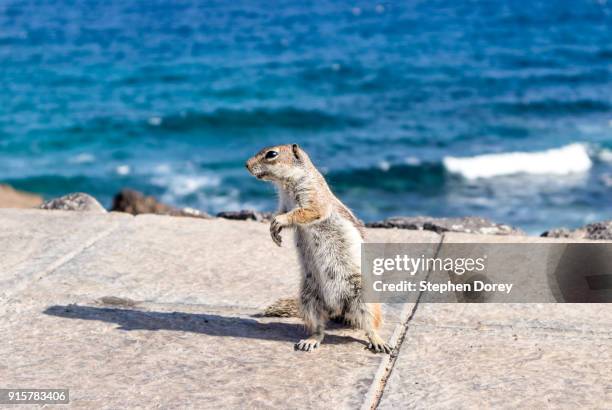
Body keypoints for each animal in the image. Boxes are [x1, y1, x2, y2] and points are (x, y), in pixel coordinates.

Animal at [245, 144, 392, 352]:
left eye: (271, 154)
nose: (246, 164)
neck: (286, 185)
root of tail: (337, 310)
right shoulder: (283, 203)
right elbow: (281, 213)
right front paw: (274, 231)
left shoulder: (313, 197)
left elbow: (306, 212)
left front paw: (279, 222)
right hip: (308, 297)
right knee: (319, 328)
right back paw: (311, 340)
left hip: (363, 296)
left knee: (370, 324)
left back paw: (378, 341)